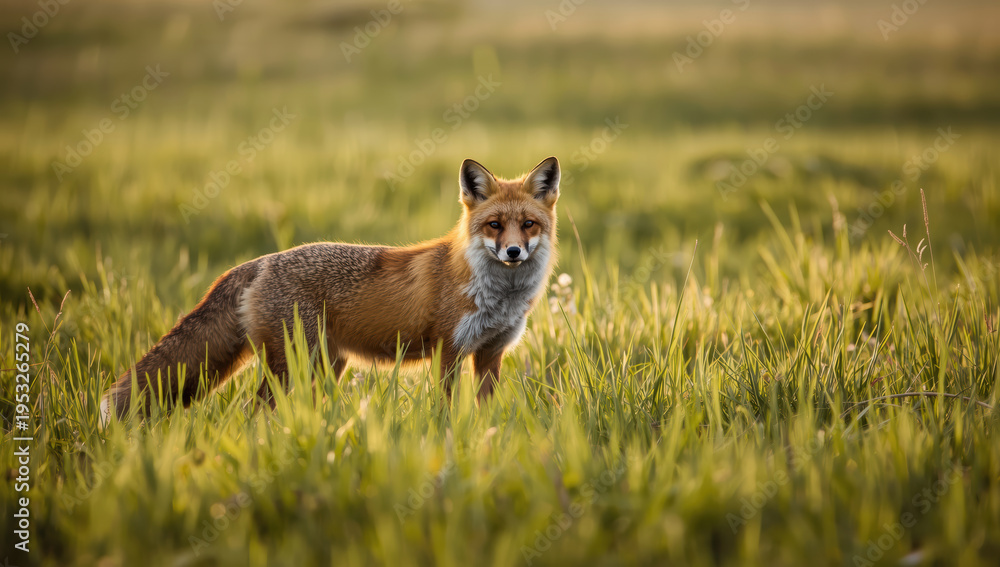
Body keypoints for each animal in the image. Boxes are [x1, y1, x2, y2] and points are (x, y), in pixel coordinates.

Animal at [101, 156, 561, 422]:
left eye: (528, 225)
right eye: (494, 225)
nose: (514, 252)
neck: (498, 298)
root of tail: (257, 263)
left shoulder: (490, 353)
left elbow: (485, 412)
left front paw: (486, 441)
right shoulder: (448, 351)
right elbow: (445, 412)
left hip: (323, 366)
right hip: (293, 367)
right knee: (253, 412)